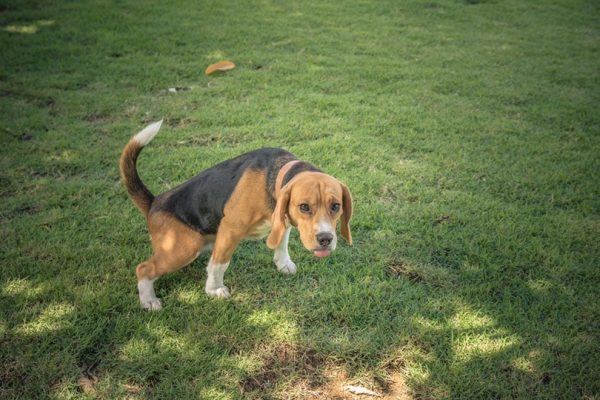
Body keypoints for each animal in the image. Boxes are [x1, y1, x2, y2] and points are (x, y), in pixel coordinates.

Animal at [119, 120, 352, 310]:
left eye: (336, 206)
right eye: (304, 206)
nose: (325, 239)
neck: (275, 174)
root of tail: (154, 202)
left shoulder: (281, 222)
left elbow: (281, 242)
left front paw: (283, 263)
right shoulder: (231, 229)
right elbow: (220, 263)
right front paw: (214, 290)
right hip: (186, 247)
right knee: (144, 268)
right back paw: (148, 300)